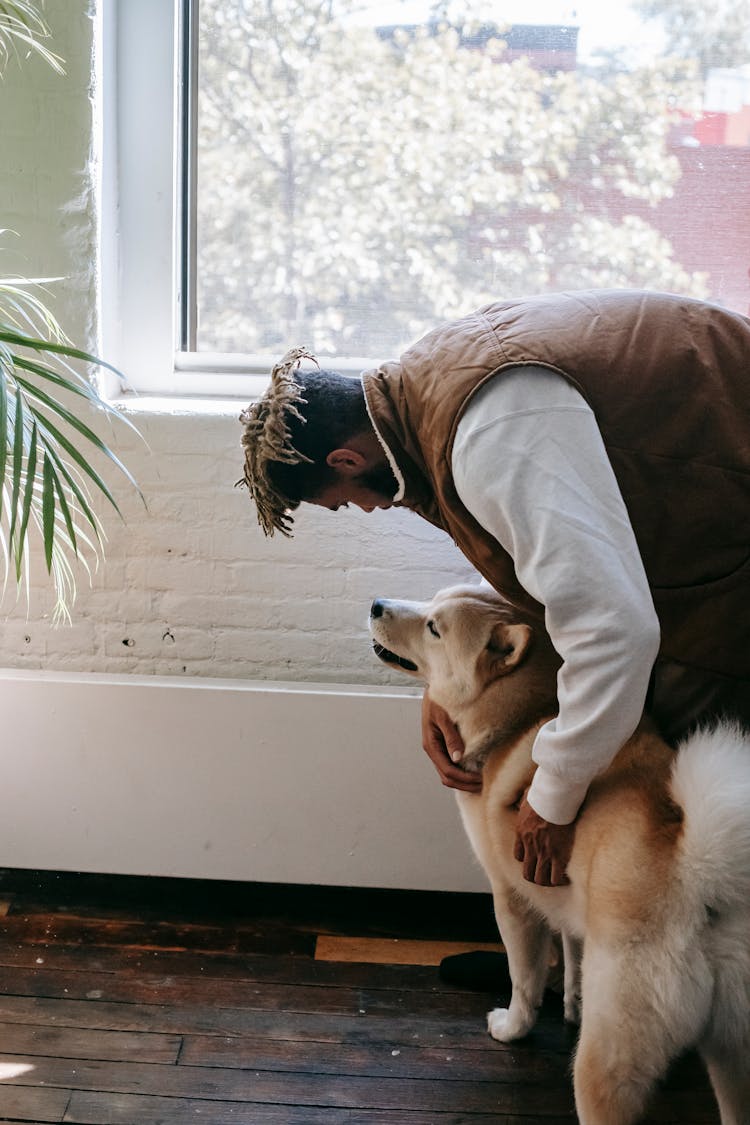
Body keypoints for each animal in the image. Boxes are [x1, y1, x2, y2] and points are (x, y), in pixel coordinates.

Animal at [368, 585, 750, 1120]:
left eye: (434, 628)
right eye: (431, 601)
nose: (376, 605)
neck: (524, 715)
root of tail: (701, 873)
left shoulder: (513, 897)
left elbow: (524, 977)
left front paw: (513, 1027)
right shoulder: (562, 895)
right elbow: (570, 951)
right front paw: (570, 1003)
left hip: (607, 1062)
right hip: (736, 1060)